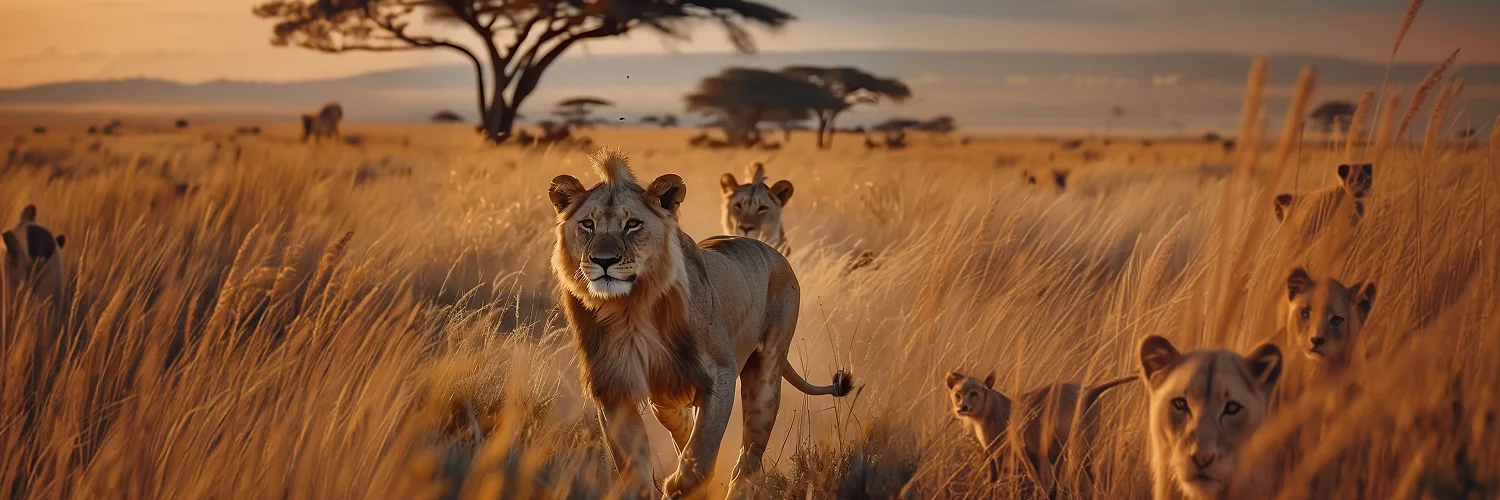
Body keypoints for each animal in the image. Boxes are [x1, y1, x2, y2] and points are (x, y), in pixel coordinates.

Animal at [548, 149, 852, 499]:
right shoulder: (613, 386)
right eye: (587, 224)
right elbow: (634, 461)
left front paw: (680, 484)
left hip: (765, 375)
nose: (603, 260)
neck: (629, 309)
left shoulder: (720, 374)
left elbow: (703, 448)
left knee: (750, 455)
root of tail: (772, 252)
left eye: (632, 225)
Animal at [946, 370, 1136, 494]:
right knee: (1089, 475)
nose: (962, 407)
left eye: (974, 393)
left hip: (1069, 447)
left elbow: (1034, 478)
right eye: (958, 394)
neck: (985, 415)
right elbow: (992, 479)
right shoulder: (991, 453)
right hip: (1074, 449)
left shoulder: (1022, 450)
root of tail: (1089, 390)